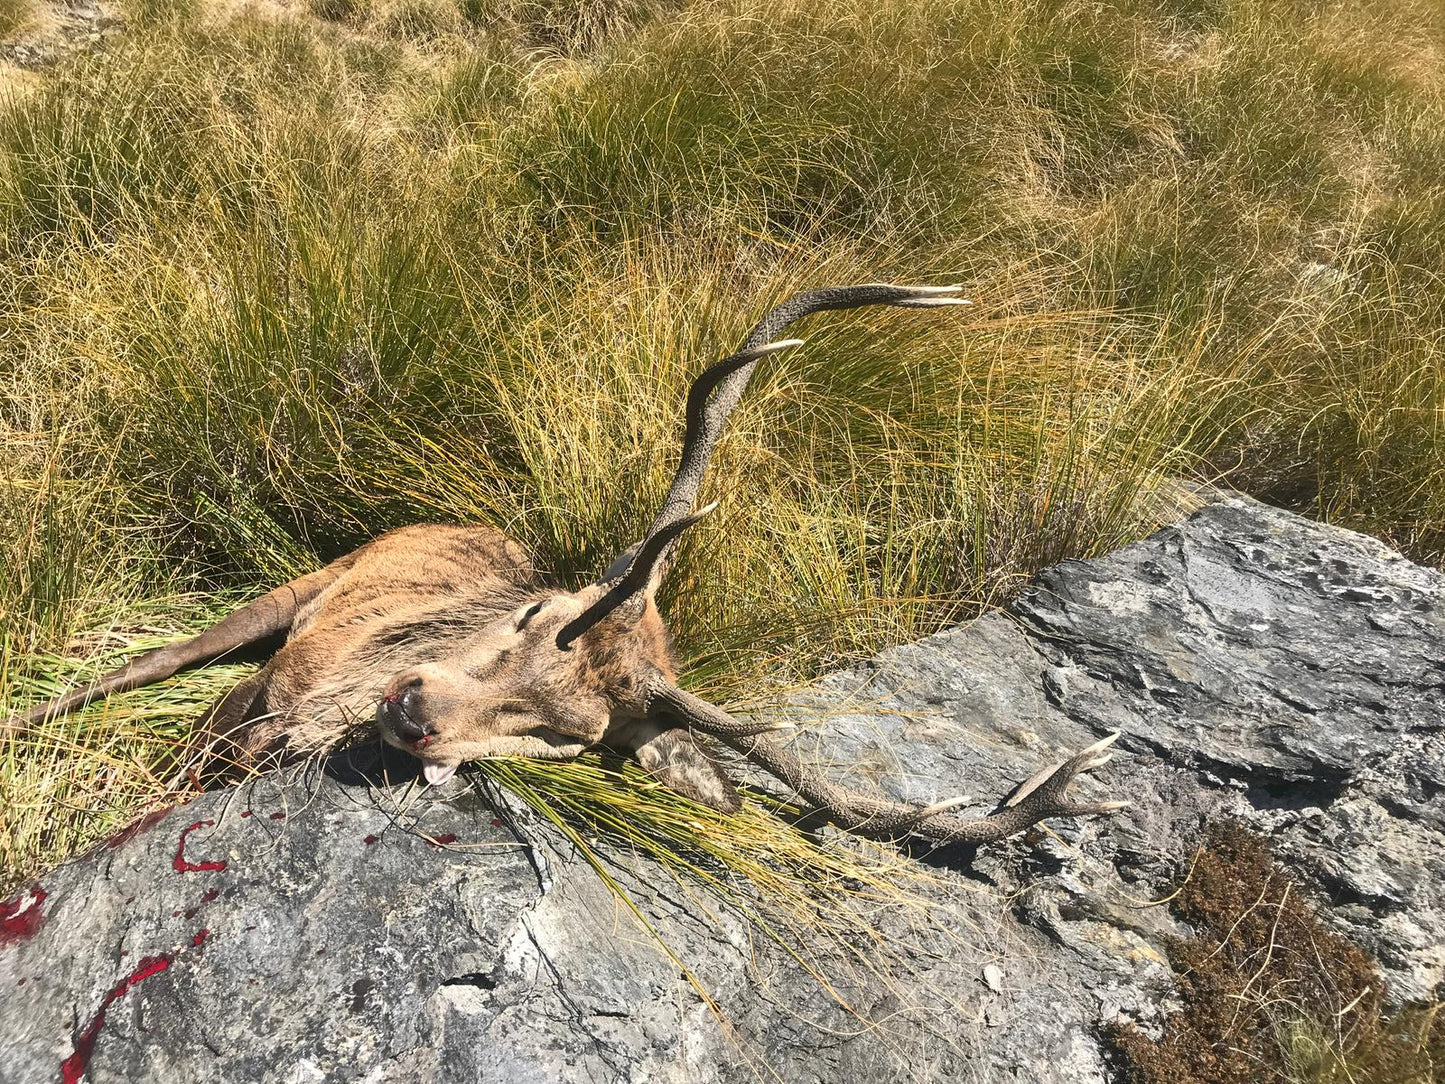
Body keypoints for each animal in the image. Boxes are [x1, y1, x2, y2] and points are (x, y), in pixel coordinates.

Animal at [14, 283, 1127, 846]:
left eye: (568, 736)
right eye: (537, 615)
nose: (411, 706)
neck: (311, 718)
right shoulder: (261, 691)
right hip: (295, 586)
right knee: (139, 664)